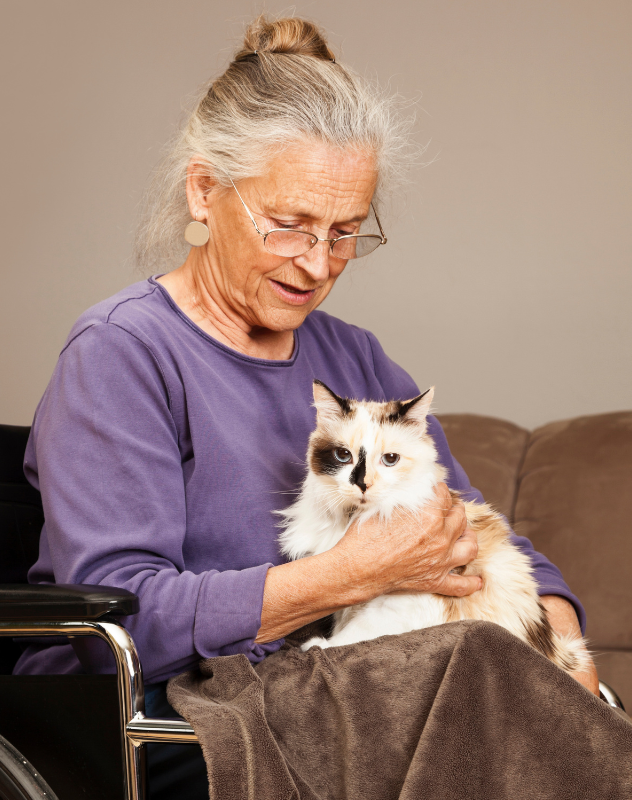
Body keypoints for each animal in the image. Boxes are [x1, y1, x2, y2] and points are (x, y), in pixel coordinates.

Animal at [278, 380, 592, 676]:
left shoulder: (402, 604)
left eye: (390, 459)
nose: (363, 484)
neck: (355, 518)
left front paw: (320, 645)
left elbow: (355, 632)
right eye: (343, 456)